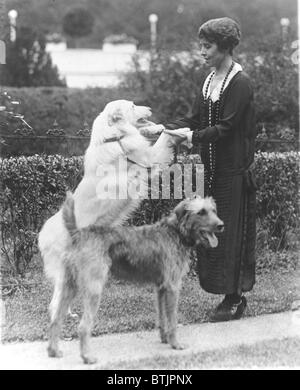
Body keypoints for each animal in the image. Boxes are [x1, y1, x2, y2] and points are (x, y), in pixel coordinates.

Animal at [38, 100, 191, 320]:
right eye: (133, 105)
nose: (150, 109)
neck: (115, 137)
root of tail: (42, 236)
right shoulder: (148, 160)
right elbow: (163, 138)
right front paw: (180, 131)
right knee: (54, 301)